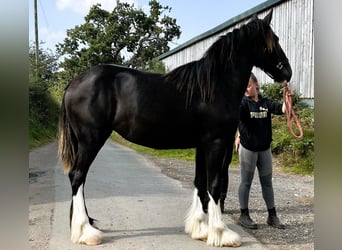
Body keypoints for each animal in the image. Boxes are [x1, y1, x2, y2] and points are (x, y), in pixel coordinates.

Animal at [58, 10, 292, 247]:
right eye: (274, 41)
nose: (288, 72)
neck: (215, 86)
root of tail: (73, 83)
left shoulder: (202, 145)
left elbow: (200, 183)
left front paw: (200, 228)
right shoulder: (216, 144)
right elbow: (214, 185)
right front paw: (220, 233)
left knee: (79, 179)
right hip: (91, 140)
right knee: (77, 176)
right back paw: (86, 231)